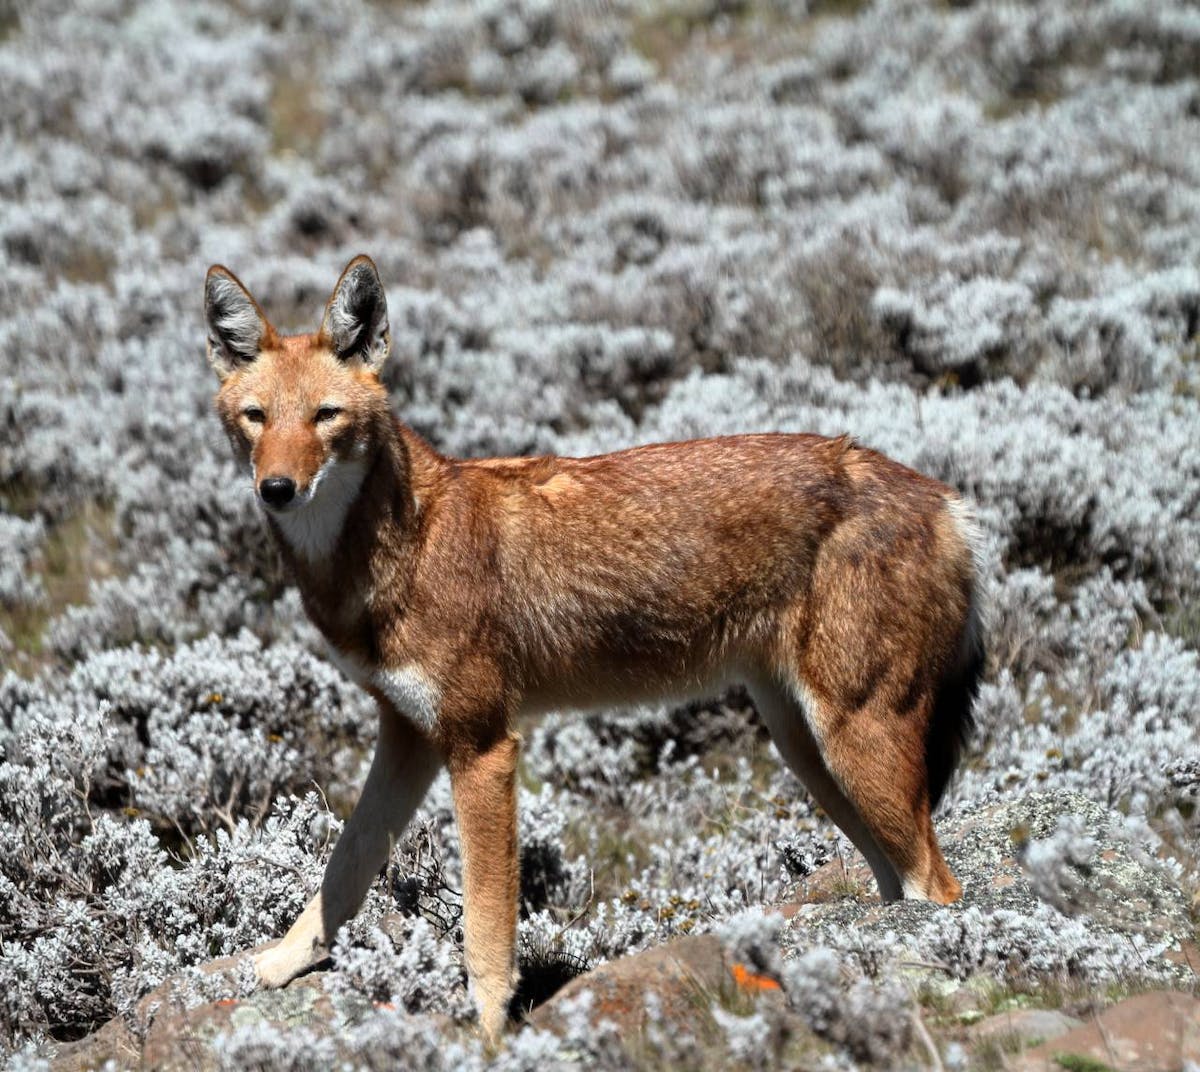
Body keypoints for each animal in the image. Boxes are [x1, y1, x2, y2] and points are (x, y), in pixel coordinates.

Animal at [204, 254, 985, 1041]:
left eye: (325, 417)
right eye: (257, 417)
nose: (278, 488)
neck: (397, 545)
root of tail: (946, 501)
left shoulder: (483, 747)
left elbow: (486, 927)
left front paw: (488, 1035)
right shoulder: (410, 738)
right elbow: (345, 866)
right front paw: (279, 963)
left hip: (854, 746)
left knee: (939, 889)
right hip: (810, 754)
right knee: (897, 882)